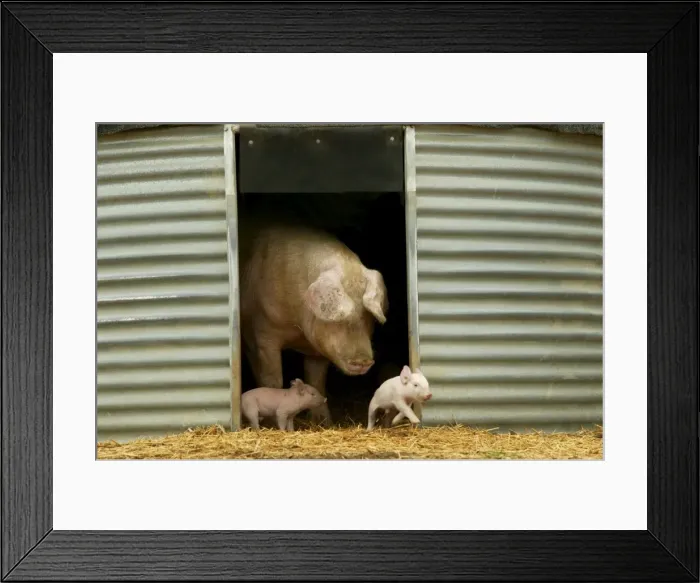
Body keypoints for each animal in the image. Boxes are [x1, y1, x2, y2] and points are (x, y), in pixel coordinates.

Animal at [238, 218, 389, 426]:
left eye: (368, 316)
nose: (364, 361)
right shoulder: (264, 334)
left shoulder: (318, 349)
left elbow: (317, 380)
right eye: (340, 319)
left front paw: (323, 422)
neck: (298, 329)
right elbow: (273, 379)